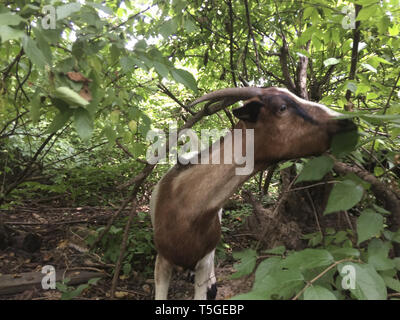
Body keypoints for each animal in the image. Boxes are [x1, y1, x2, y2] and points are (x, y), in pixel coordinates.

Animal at [150, 86, 356, 298]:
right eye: (282, 107)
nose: (348, 121)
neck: (184, 204)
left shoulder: (204, 259)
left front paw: (211, 287)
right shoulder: (162, 260)